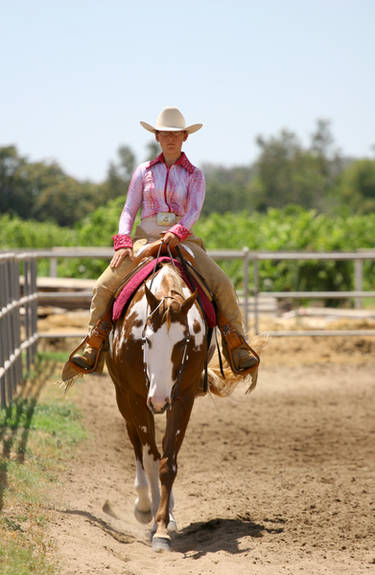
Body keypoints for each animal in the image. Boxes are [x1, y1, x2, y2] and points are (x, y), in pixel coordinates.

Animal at [106, 260, 212, 552]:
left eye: (183, 342)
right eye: (147, 340)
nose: (158, 399)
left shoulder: (183, 398)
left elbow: (168, 461)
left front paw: (164, 526)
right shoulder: (136, 398)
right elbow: (151, 458)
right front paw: (154, 519)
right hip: (123, 397)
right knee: (135, 441)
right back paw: (143, 505)